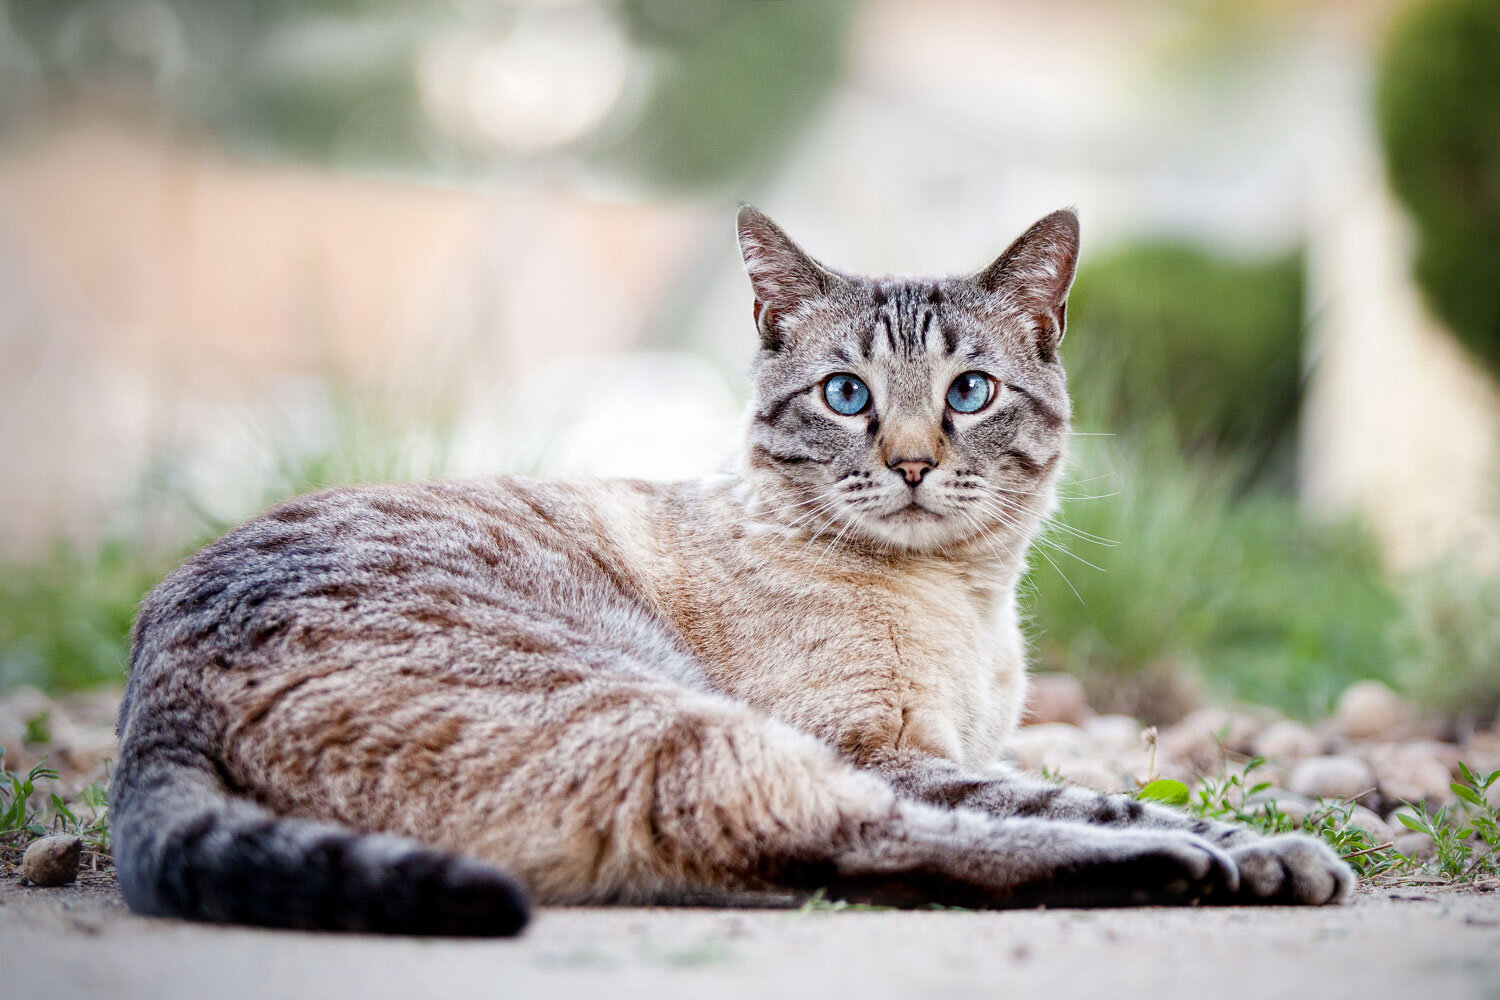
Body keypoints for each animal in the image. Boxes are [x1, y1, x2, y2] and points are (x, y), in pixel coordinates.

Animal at [111, 205, 1356, 941]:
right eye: (847, 395)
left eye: (969, 393)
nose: (912, 463)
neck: (967, 602)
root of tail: (153, 698)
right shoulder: (887, 748)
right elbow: (1074, 794)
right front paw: (1269, 850)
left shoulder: (952, 741)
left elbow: (1068, 776)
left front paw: (1273, 843)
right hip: (666, 707)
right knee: (849, 836)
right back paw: (1179, 864)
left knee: (795, 856)